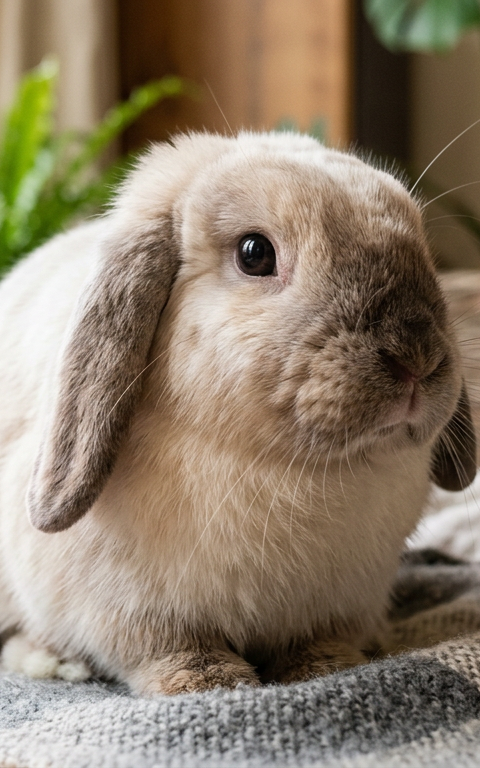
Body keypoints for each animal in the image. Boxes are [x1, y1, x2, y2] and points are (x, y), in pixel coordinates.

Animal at [0, 130, 475, 695]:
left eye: (421, 246)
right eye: (254, 254)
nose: (416, 360)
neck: (294, 468)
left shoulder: (338, 605)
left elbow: (319, 641)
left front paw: (329, 668)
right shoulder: (130, 611)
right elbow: (167, 649)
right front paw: (209, 684)